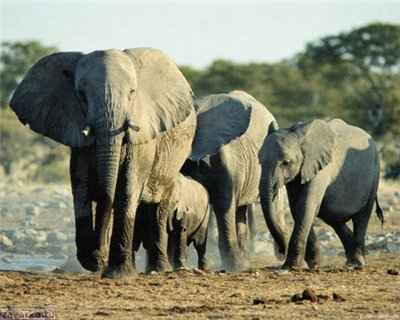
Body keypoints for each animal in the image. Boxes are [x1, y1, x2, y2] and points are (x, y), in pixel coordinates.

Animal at [9, 47, 197, 278]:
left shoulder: (143, 136)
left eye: (132, 93)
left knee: (157, 210)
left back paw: (156, 270)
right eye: (81, 95)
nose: (98, 257)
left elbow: (126, 190)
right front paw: (94, 262)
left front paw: (117, 274)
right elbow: (81, 187)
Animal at [260, 118, 384, 270]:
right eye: (259, 160)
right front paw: (314, 264)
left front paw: (291, 267)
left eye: (286, 162)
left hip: (375, 174)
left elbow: (306, 206)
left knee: (362, 217)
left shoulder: (321, 168)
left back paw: (357, 263)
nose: (281, 251)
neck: (299, 134)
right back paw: (350, 260)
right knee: (333, 218)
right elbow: (297, 207)